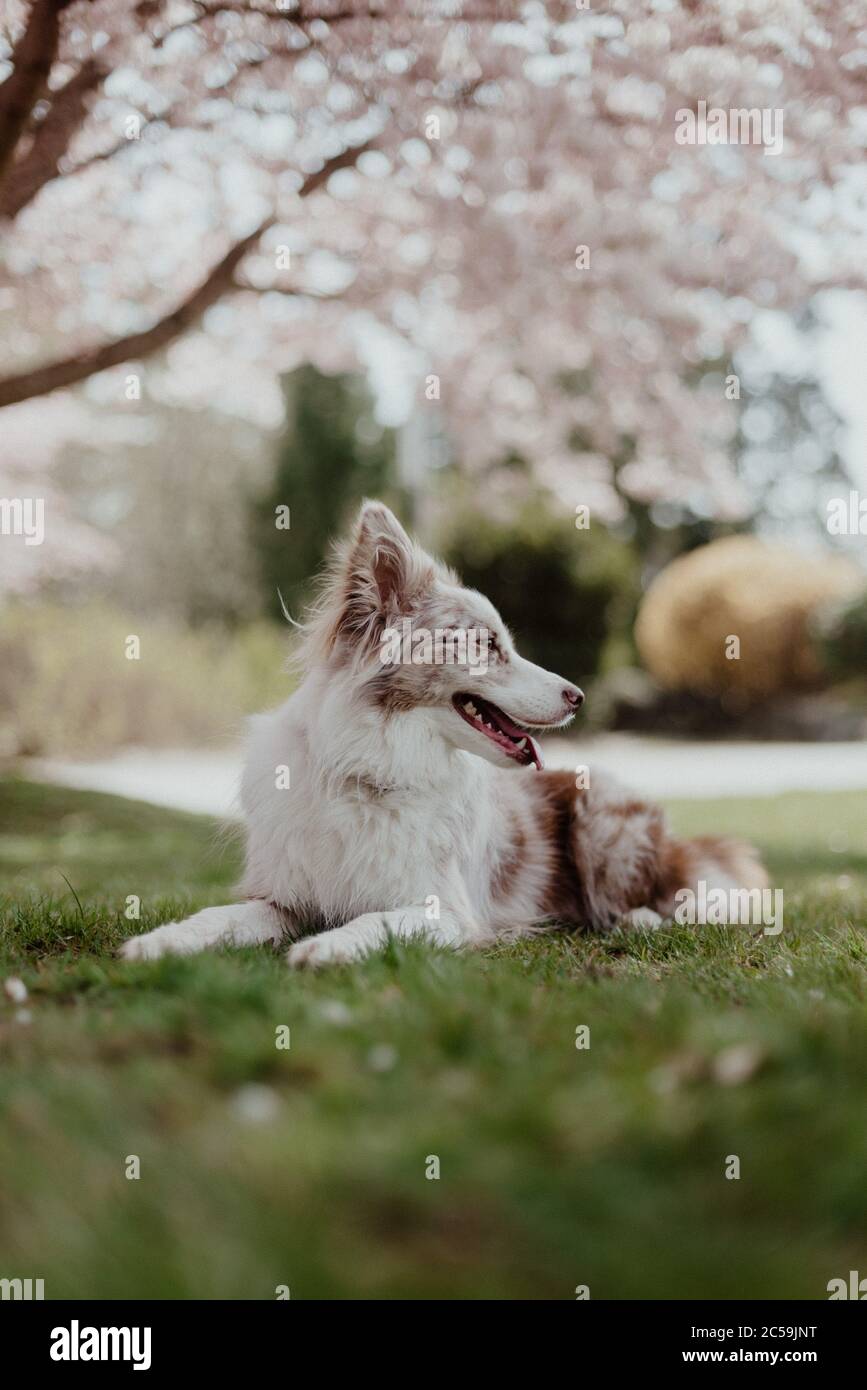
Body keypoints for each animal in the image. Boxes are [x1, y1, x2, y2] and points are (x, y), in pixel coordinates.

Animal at [120, 500, 766, 967]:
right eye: (487, 645)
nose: (577, 696)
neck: (375, 770)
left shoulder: (445, 910)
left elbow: (377, 919)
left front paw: (326, 946)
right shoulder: (282, 896)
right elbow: (222, 917)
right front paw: (162, 940)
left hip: (602, 820)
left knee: (664, 899)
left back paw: (633, 919)